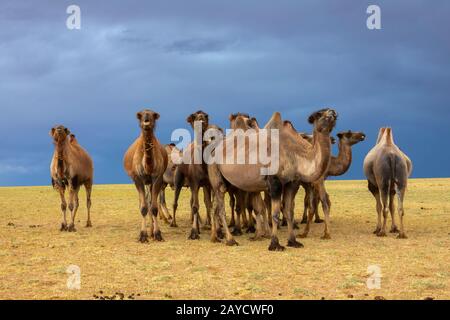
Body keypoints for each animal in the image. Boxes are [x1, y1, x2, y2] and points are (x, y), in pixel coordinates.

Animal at [124, 109, 168, 241]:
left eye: (154, 115)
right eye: (140, 115)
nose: (146, 121)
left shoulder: (157, 178)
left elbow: (154, 208)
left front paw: (157, 234)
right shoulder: (137, 179)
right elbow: (143, 208)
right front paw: (143, 235)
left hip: (150, 183)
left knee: (150, 203)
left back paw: (151, 231)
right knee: (143, 203)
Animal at [171, 110, 215, 240]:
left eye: (206, 116)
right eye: (194, 116)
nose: (201, 119)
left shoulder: (208, 183)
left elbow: (209, 204)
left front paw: (213, 229)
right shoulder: (194, 182)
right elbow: (195, 205)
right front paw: (194, 232)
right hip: (179, 178)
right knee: (176, 201)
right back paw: (173, 223)